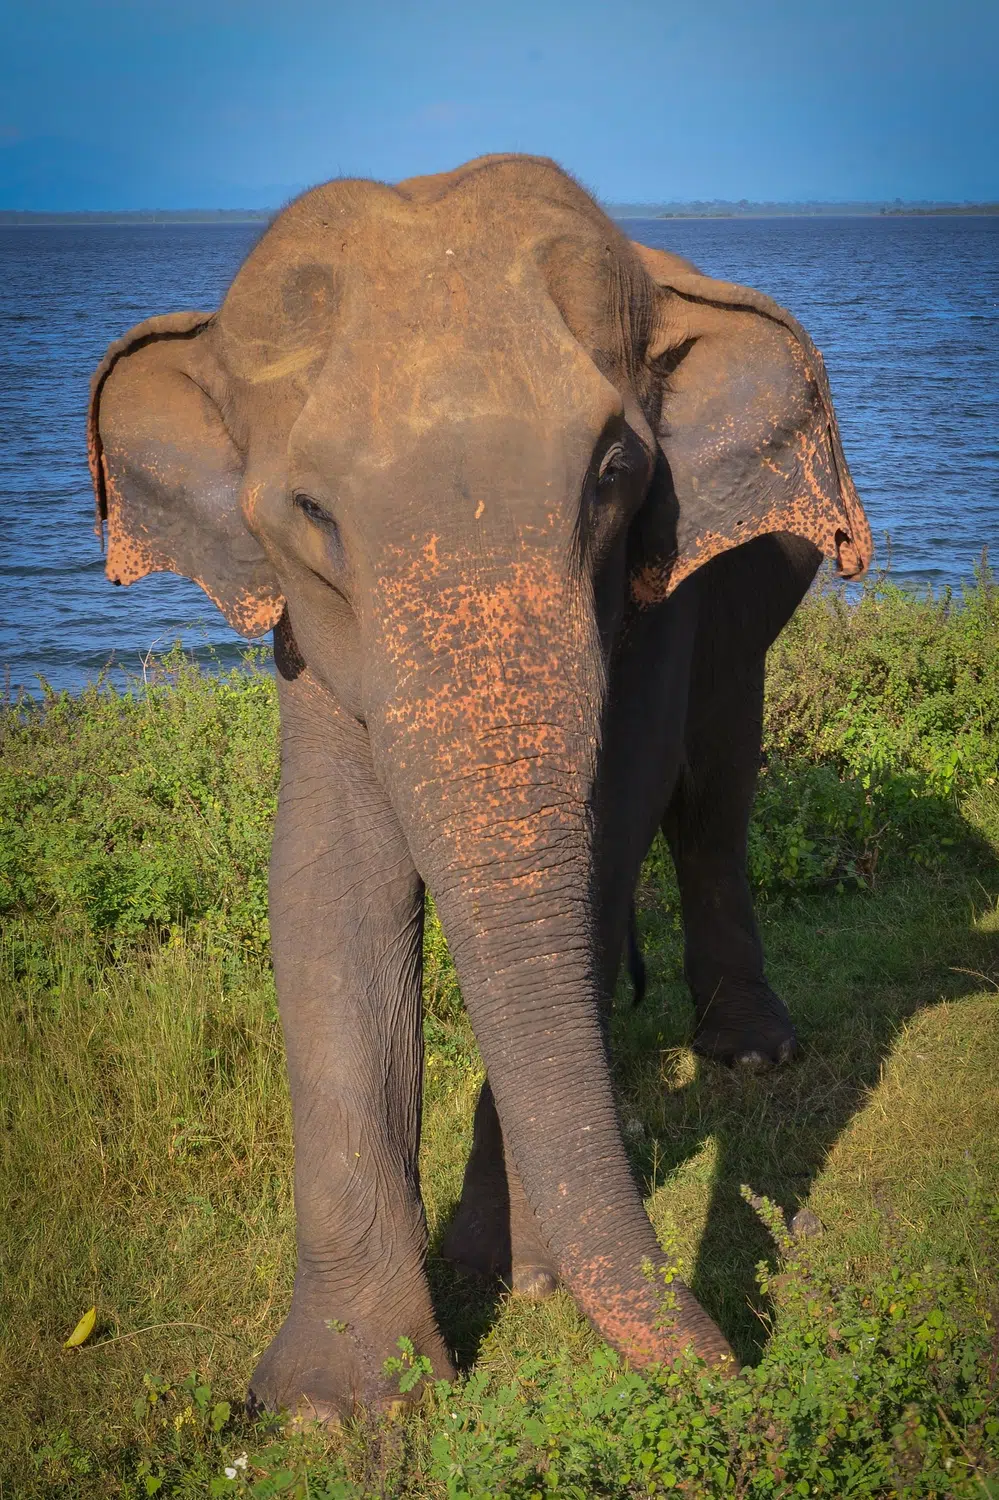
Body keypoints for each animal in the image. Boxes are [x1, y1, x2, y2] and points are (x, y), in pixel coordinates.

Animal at [86, 153, 871, 1420]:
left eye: (614, 476)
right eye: (312, 512)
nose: (735, 1360)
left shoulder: (662, 571)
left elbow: (612, 822)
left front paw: (515, 1275)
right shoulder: (305, 629)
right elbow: (325, 875)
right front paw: (336, 1405)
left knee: (713, 795)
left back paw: (752, 1054)